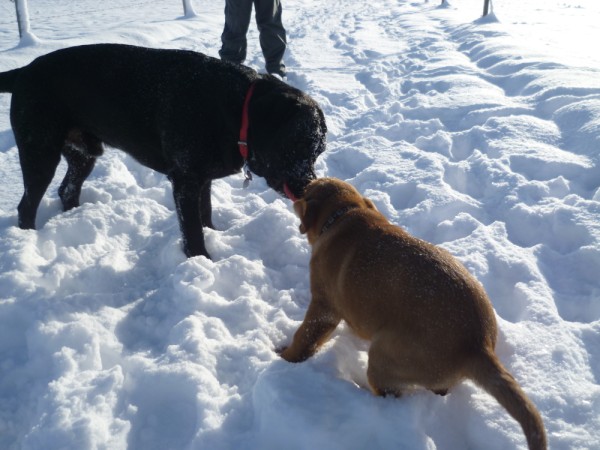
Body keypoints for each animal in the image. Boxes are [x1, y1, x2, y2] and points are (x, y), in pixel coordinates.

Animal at [0, 44, 326, 258]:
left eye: (319, 151)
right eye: (298, 143)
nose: (308, 185)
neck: (234, 112)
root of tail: (23, 71)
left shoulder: (202, 179)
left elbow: (205, 215)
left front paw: (214, 235)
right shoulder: (184, 180)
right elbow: (192, 229)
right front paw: (201, 260)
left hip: (83, 154)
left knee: (68, 189)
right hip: (40, 152)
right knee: (27, 205)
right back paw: (29, 240)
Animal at [280, 178, 547, 450]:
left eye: (307, 189)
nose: (298, 185)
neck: (344, 213)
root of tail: (478, 346)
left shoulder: (323, 307)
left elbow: (304, 337)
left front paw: (283, 356)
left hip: (385, 356)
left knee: (389, 394)